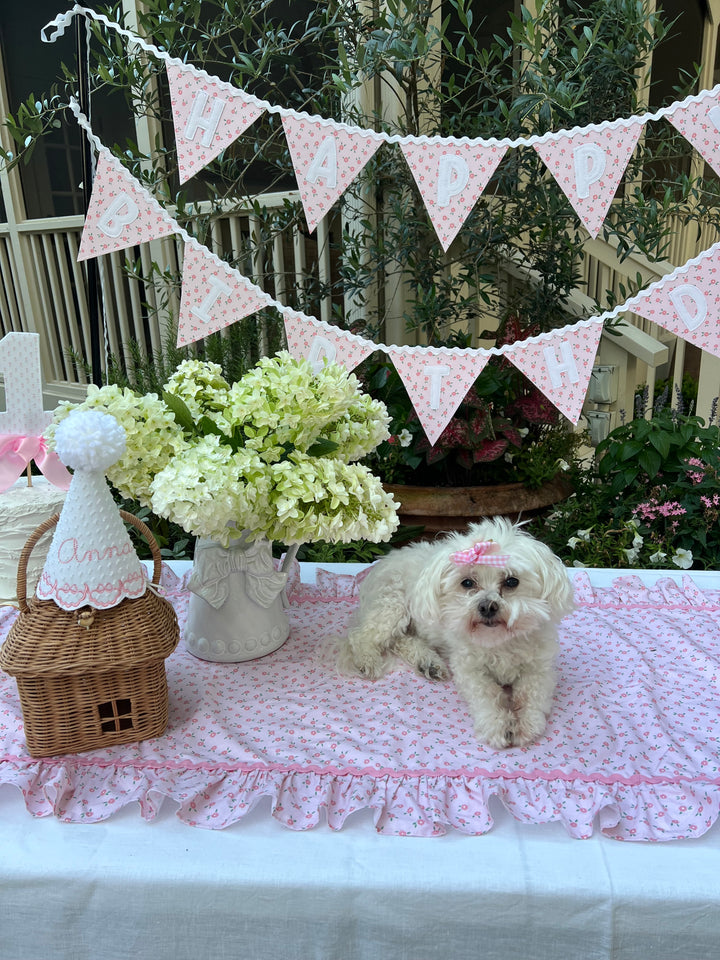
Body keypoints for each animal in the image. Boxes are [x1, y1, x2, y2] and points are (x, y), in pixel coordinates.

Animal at [338, 516, 572, 752]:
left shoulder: (539, 668)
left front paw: (527, 724)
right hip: (392, 604)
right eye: (467, 582)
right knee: (363, 635)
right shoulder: (469, 669)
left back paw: (428, 663)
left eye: (512, 581)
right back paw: (369, 660)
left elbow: (532, 694)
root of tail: (382, 562)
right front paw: (496, 726)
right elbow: (486, 694)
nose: (487, 606)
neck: (499, 641)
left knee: (398, 640)